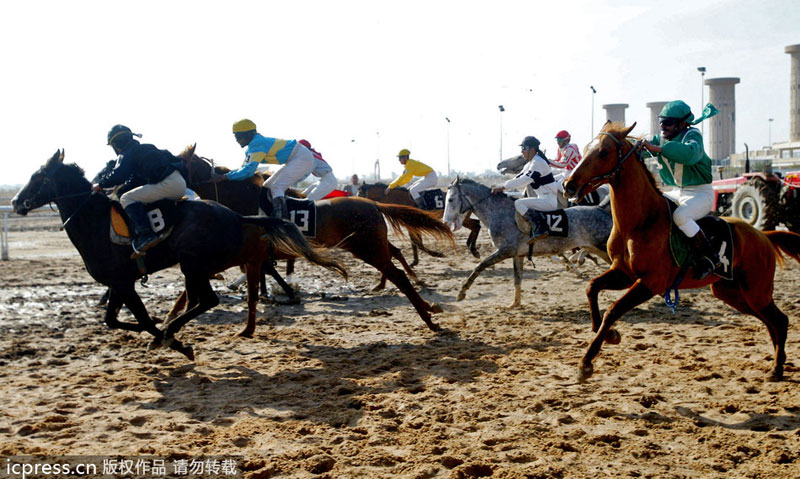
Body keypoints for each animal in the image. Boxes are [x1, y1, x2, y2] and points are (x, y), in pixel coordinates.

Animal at [11, 152, 344, 358]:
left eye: (38, 176)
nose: (14, 201)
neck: (96, 223)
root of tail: (236, 216)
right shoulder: (120, 282)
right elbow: (113, 320)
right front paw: (160, 332)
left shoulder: (123, 283)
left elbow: (142, 319)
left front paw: (170, 340)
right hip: (195, 267)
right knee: (201, 299)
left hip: (192, 263)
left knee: (208, 299)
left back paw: (172, 330)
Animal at [173, 147, 456, 334]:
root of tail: (372, 204)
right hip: (373, 247)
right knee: (396, 261)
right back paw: (425, 304)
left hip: (368, 249)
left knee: (399, 275)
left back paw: (428, 316)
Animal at [444, 178, 612, 310]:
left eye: (450, 199)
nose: (446, 221)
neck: (500, 213)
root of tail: (600, 208)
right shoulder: (517, 255)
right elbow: (517, 279)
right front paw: (515, 304)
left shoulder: (505, 251)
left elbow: (480, 266)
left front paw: (462, 292)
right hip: (596, 249)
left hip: (604, 248)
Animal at [564, 123, 800, 382]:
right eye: (587, 148)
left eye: (603, 152)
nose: (568, 184)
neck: (639, 223)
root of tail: (763, 235)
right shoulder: (623, 272)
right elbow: (592, 287)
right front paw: (607, 334)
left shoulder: (651, 282)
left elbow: (613, 310)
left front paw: (586, 362)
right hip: (733, 293)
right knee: (771, 321)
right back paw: (778, 364)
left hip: (755, 291)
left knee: (780, 320)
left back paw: (777, 368)